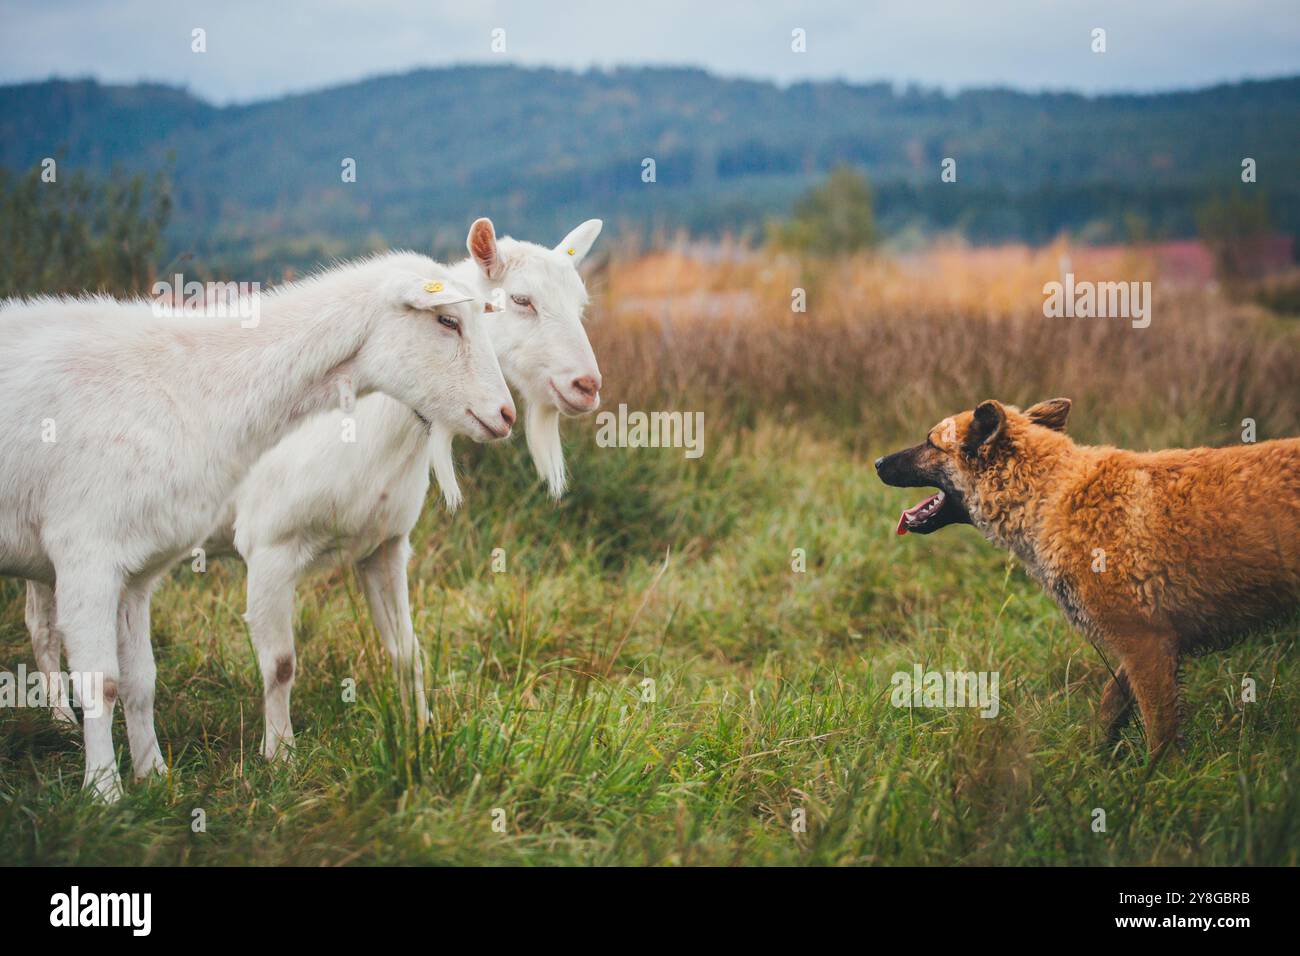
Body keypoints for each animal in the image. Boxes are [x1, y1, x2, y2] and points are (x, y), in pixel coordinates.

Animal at [25, 217, 603, 764]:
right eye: (520, 301)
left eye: (580, 305)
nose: (587, 386)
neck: (367, 422)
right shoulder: (270, 548)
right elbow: (280, 664)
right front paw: (279, 755)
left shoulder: (385, 548)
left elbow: (407, 651)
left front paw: (420, 733)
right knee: (42, 624)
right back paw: (58, 719)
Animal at [878, 400, 1294, 759]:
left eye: (930, 442)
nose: (878, 462)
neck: (1049, 495)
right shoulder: (1150, 645)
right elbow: (1109, 708)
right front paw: (1091, 760)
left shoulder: (1146, 646)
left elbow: (1158, 733)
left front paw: (1159, 783)